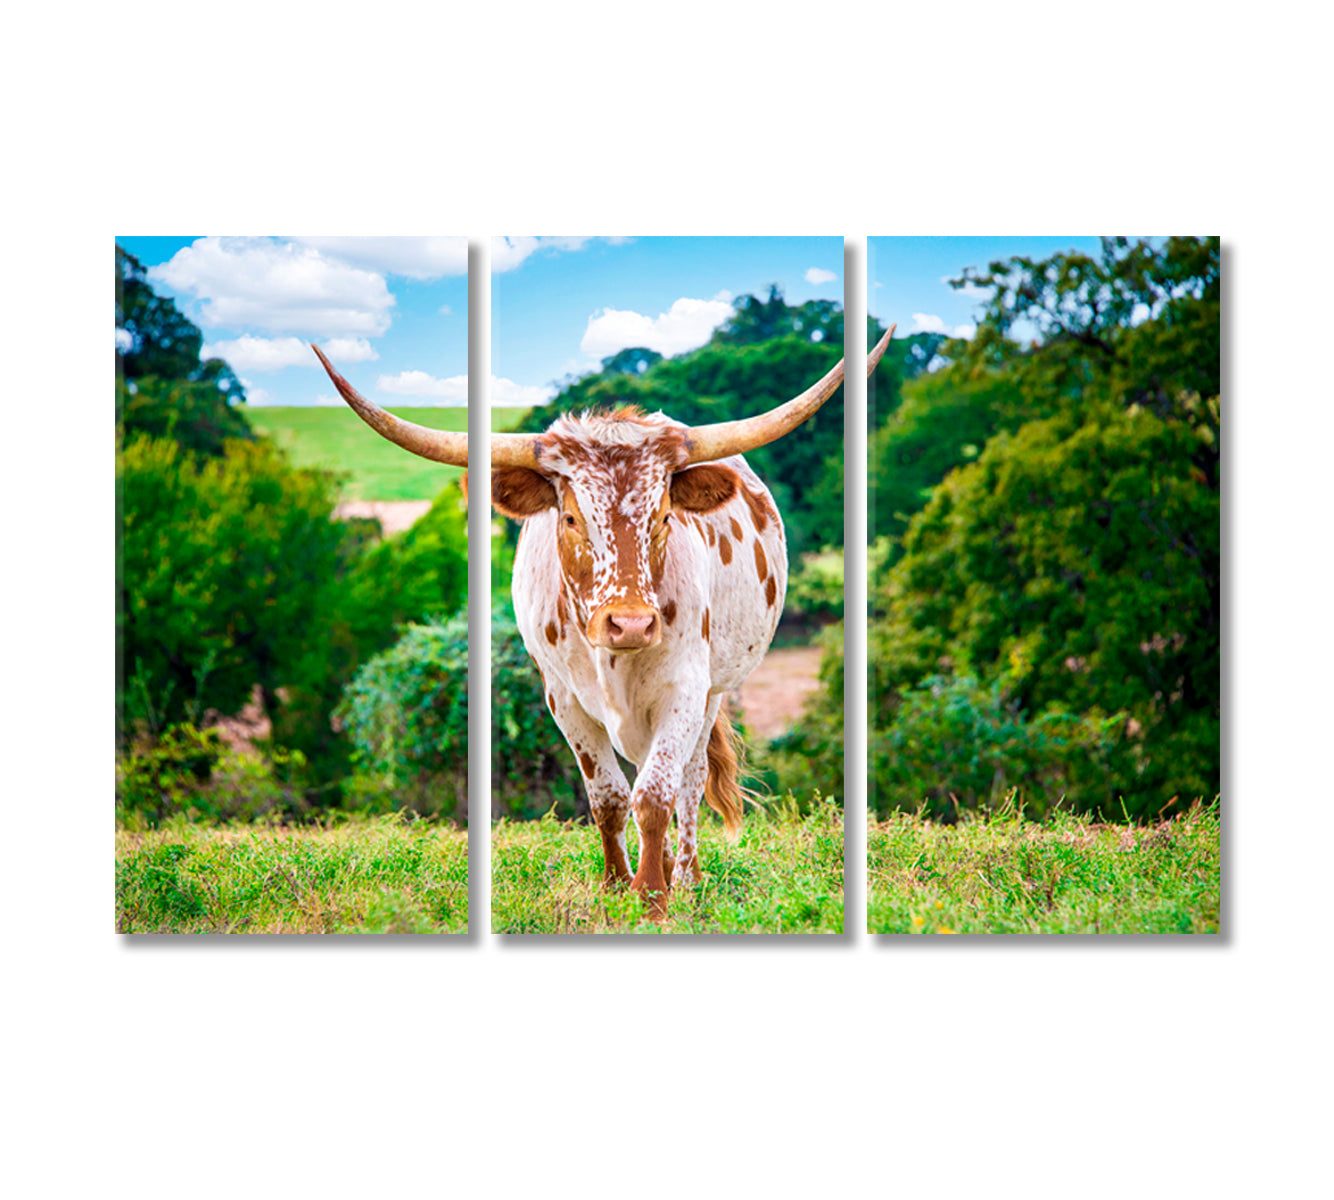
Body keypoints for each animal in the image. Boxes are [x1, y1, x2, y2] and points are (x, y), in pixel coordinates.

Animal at [313, 325, 896, 917]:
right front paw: (618, 886)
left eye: (662, 517)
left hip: (713, 692)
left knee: (690, 779)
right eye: (571, 518)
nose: (631, 625)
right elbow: (609, 799)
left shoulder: (686, 689)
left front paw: (653, 896)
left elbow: (656, 795)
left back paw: (686, 876)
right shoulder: (563, 699)